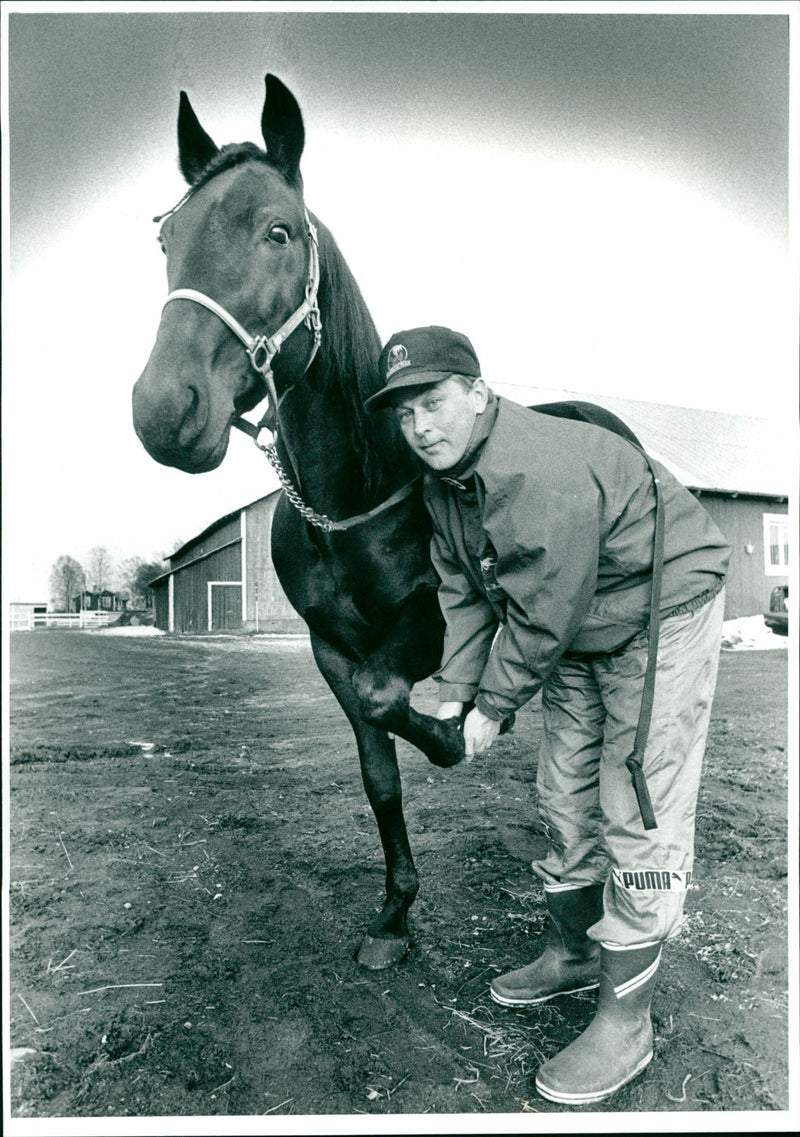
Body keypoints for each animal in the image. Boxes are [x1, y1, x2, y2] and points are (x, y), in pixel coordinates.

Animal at [132, 75, 645, 973]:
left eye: (279, 230)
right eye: (168, 240)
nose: (164, 410)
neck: (353, 499)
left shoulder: (425, 626)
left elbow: (393, 701)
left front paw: (449, 736)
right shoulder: (333, 645)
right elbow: (378, 766)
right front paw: (395, 913)